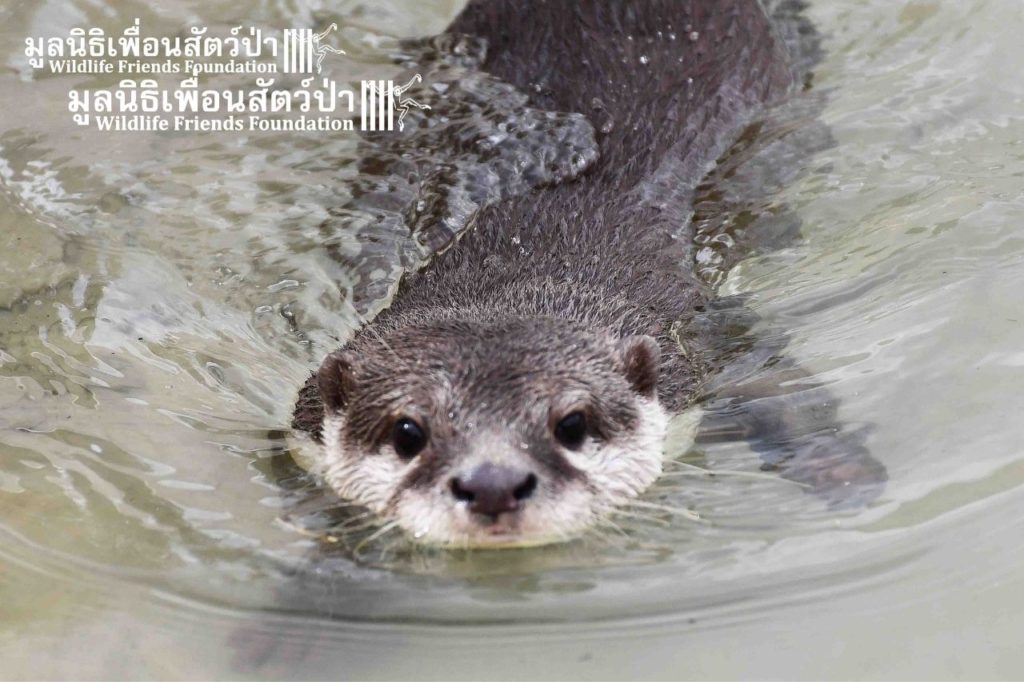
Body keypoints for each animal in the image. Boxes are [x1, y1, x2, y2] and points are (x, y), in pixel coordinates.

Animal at [290, 0, 877, 548]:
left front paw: (844, 474)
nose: (493, 484)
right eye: (408, 432)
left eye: (572, 424)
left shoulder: (707, 334)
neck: (522, 268)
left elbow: (784, 389)